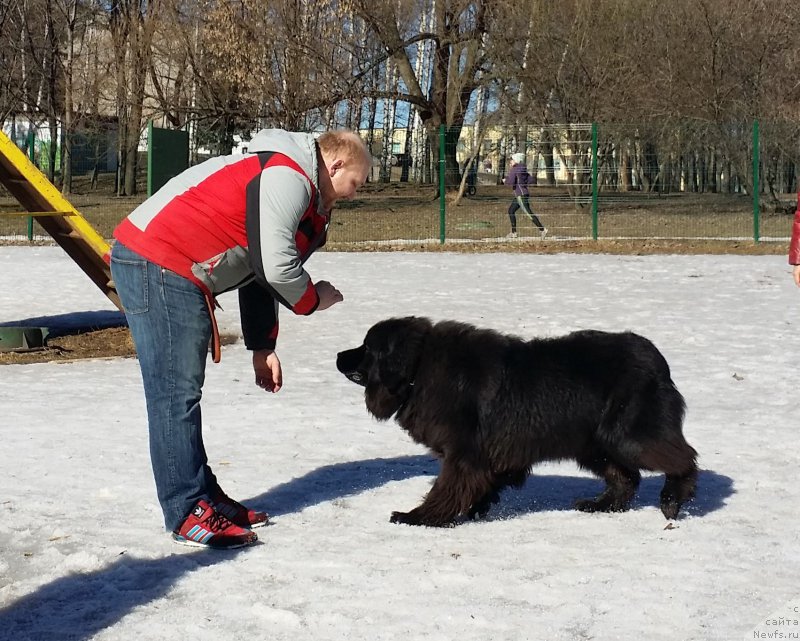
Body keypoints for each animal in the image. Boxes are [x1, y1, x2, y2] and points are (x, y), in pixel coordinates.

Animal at [334, 318, 696, 528]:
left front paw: (420, 517)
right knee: (626, 478)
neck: (417, 370)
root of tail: (656, 359)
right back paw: (600, 506)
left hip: (630, 436)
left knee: (683, 459)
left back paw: (672, 499)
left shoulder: (463, 453)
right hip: (595, 443)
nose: (338, 355)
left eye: (366, 348)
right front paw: (476, 507)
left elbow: (447, 488)